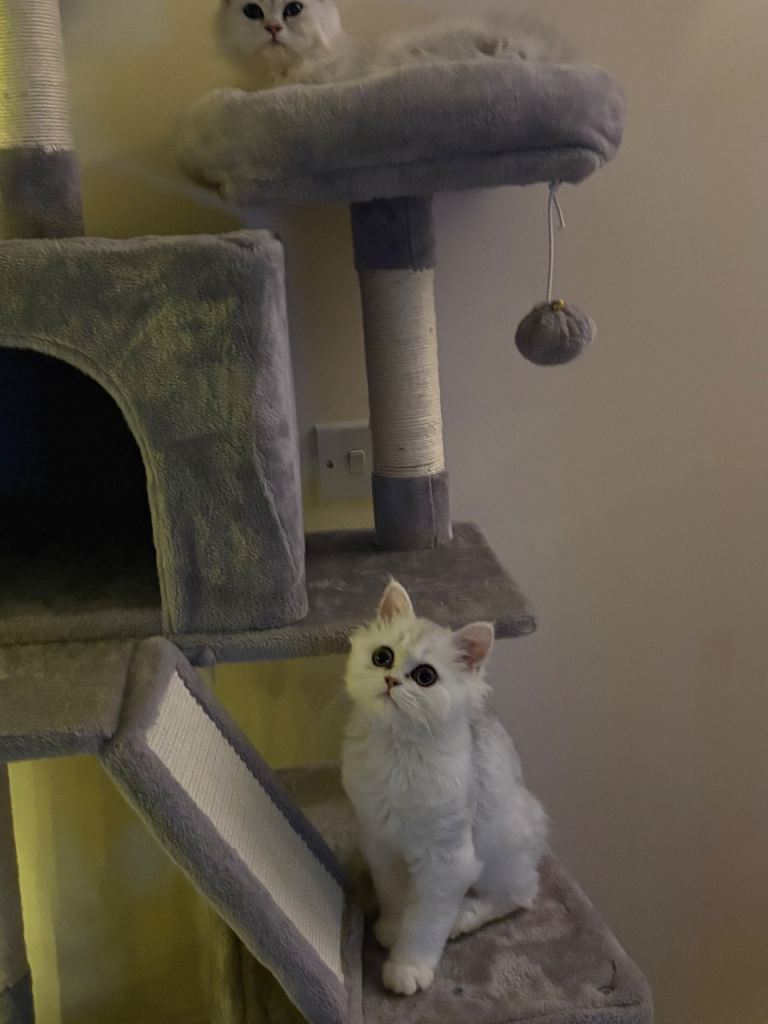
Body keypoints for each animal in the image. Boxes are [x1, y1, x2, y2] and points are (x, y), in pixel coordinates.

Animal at [342, 580, 547, 996]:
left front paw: (407, 967)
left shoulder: (447, 861)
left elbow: (424, 924)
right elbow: (394, 896)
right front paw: (390, 929)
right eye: (382, 657)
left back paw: (463, 917)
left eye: (425, 677)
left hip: (500, 850)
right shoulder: (380, 842)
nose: (390, 680)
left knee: (521, 894)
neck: (397, 753)